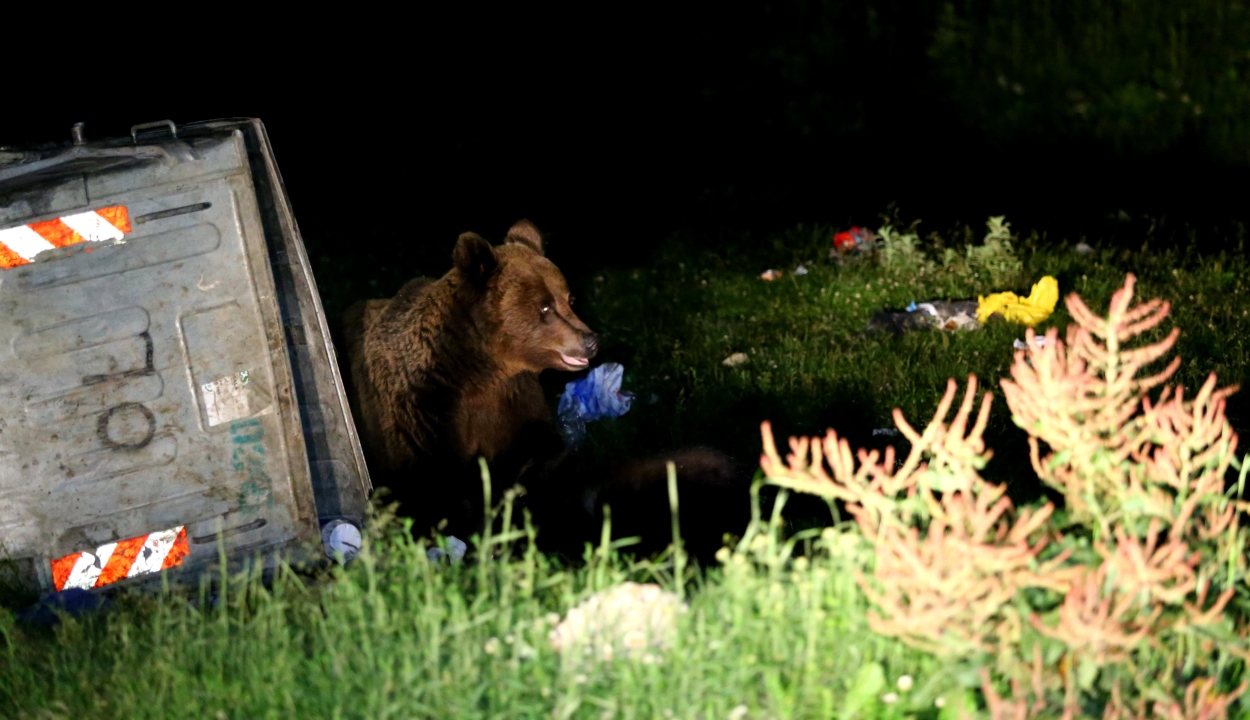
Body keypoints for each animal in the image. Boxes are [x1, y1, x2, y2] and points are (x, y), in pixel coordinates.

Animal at [342, 220, 745, 557]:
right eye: (544, 307)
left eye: (569, 298)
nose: (591, 341)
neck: (478, 371)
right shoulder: (425, 410)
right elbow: (431, 484)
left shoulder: (513, 401)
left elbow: (542, 454)